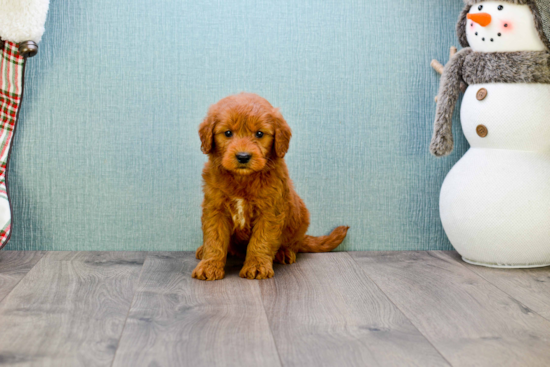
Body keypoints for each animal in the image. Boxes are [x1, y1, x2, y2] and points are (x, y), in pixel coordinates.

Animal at [194, 93, 350, 280]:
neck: (243, 179)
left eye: (260, 133)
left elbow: (261, 240)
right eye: (228, 133)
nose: (243, 156)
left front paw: (256, 266)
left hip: (300, 217)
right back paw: (203, 251)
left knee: (293, 243)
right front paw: (209, 265)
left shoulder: (270, 211)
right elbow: (214, 239)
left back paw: (284, 252)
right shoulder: (215, 208)